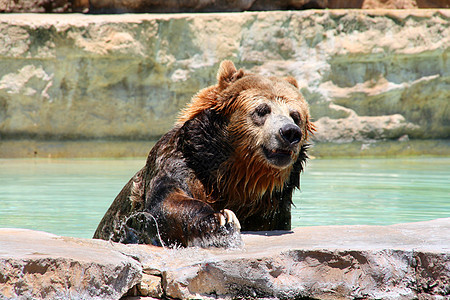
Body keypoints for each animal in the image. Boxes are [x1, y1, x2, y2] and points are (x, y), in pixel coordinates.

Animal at [92, 59, 312, 247]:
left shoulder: (272, 208)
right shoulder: (178, 162)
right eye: (262, 110)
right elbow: (167, 200)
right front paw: (222, 218)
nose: (290, 132)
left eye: (295, 115)